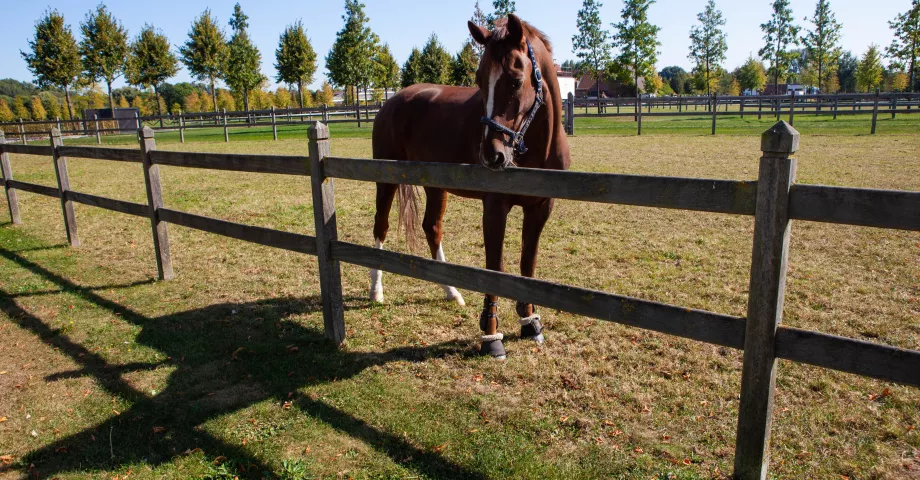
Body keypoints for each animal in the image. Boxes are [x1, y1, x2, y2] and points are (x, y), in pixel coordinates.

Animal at [369, 15, 571, 359]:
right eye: (479, 79)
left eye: (515, 81)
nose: (492, 155)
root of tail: (392, 100)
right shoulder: (494, 208)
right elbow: (495, 266)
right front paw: (491, 336)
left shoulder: (541, 208)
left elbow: (527, 264)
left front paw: (530, 322)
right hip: (387, 180)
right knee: (380, 227)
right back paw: (376, 291)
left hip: (436, 187)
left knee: (431, 228)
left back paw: (452, 292)